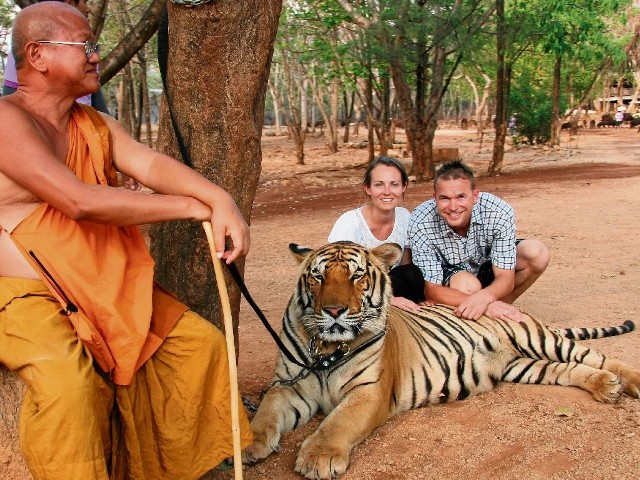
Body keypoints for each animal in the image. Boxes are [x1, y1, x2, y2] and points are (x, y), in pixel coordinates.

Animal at [241, 242, 640, 478]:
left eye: (357, 275)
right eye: (318, 276)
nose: (334, 311)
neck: (324, 347)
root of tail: (499, 302)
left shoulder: (369, 391)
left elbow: (338, 423)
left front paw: (318, 457)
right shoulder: (286, 386)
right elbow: (266, 414)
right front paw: (246, 444)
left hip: (538, 339)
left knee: (597, 356)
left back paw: (628, 381)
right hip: (526, 366)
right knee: (570, 369)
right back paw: (606, 387)